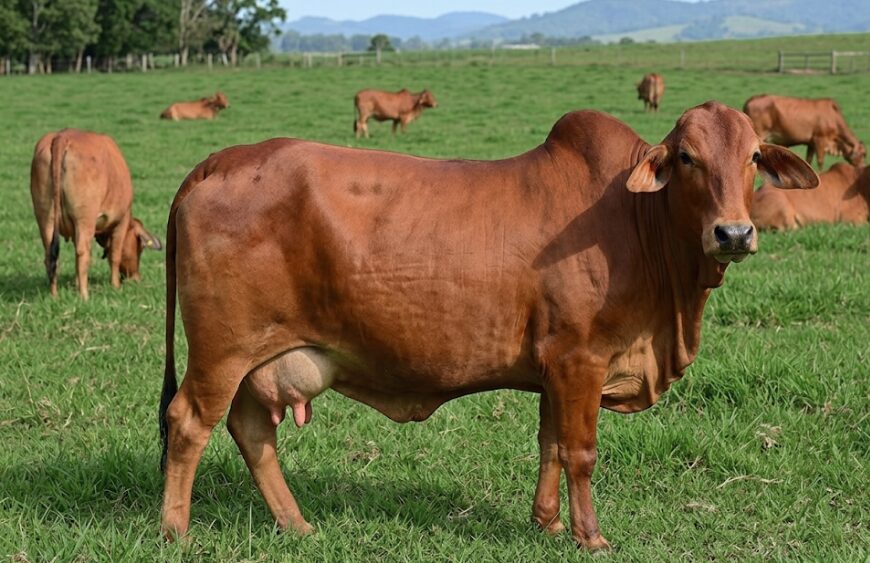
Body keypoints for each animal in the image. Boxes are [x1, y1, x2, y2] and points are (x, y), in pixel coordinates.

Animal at [30, 129, 162, 299]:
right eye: (140, 248)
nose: (135, 278)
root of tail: (63, 135)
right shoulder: (122, 221)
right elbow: (115, 255)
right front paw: (115, 285)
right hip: (85, 218)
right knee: (82, 253)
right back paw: (84, 296)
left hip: (45, 217)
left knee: (51, 256)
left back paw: (55, 295)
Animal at [158, 102, 818, 550]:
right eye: (686, 157)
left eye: (754, 157)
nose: (733, 233)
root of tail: (219, 160)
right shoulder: (581, 360)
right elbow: (581, 452)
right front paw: (591, 537)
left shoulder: (555, 367)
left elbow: (550, 444)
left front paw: (547, 524)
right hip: (222, 351)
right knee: (189, 422)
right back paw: (176, 532)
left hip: (256, 358)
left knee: (250, 432)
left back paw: (297, 525)